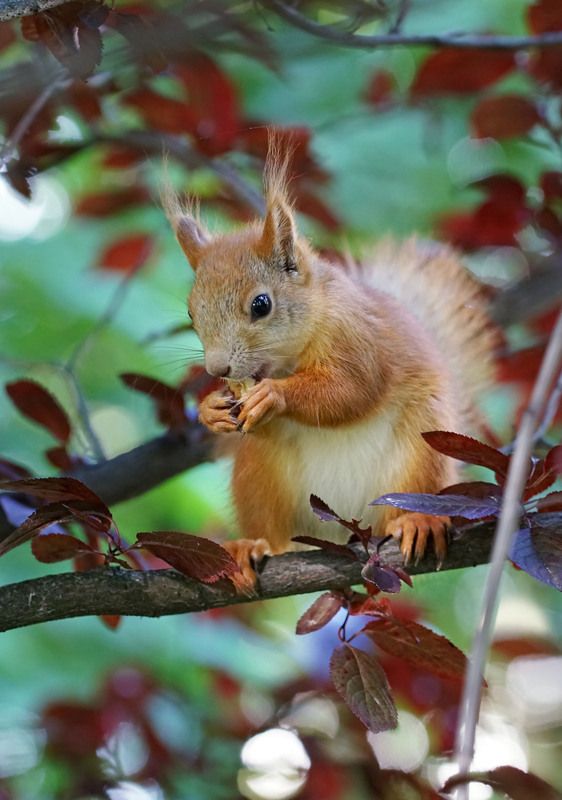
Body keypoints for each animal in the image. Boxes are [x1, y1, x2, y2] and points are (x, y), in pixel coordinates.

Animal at [162, 146, 497, 587]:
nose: (218, 369)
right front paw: (210, 409)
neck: (291, 357)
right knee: (274, 533)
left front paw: (274, 396)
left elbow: (350, 392)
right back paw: (250, 546)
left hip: (422, 456)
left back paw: (418, 522)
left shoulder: (360, 340)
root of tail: (347, 526)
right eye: (191, 312)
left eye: (261, 304)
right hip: (258, 475)